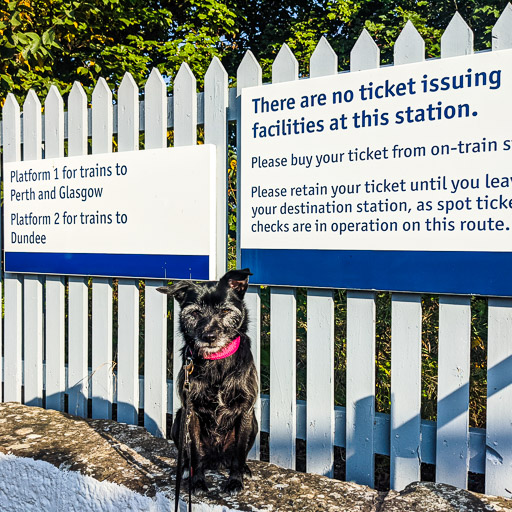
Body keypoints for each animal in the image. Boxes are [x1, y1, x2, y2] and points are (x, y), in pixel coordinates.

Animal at [157, 270, 256, 494]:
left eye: (226, 310)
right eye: (194, 313)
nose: (209, 336)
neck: (216, 361)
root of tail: (216, 460)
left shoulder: (245, 410)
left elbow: (239, 453)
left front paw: (235, 480)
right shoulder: (191, 412)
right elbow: (194, 453)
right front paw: (198, 482)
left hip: (254, 423)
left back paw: (244, 469)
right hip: (178, 420)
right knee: (189, 456)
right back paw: (185, 469)